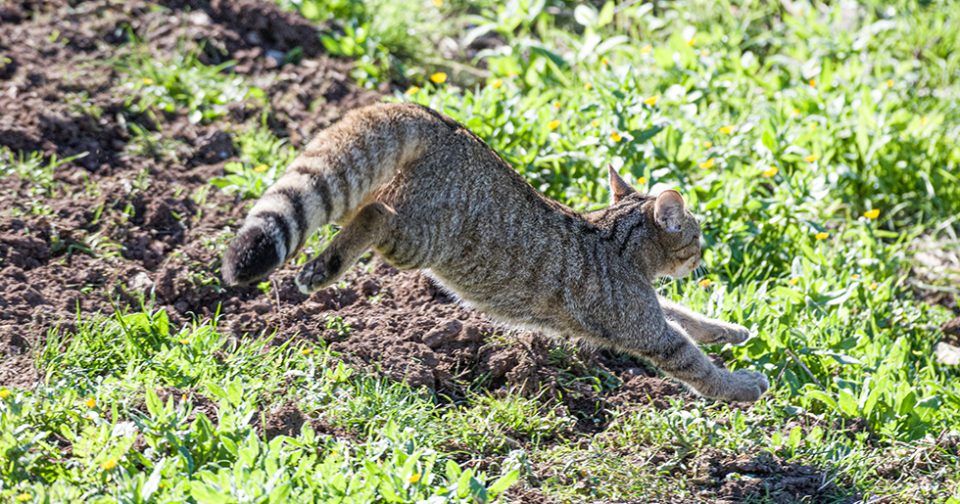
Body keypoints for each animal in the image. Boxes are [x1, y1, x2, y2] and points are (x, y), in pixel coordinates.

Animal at [221, 101, 768, 402]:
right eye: (697, 235)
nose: (703, 254)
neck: (620, 243)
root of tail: (446, 124)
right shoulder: (646, 329)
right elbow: (694, 360)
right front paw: (741, 386)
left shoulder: (650, 309)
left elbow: (687, 315)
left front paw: (733, 330)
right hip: (417, 239)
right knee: (374, 216)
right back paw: (323, 269)